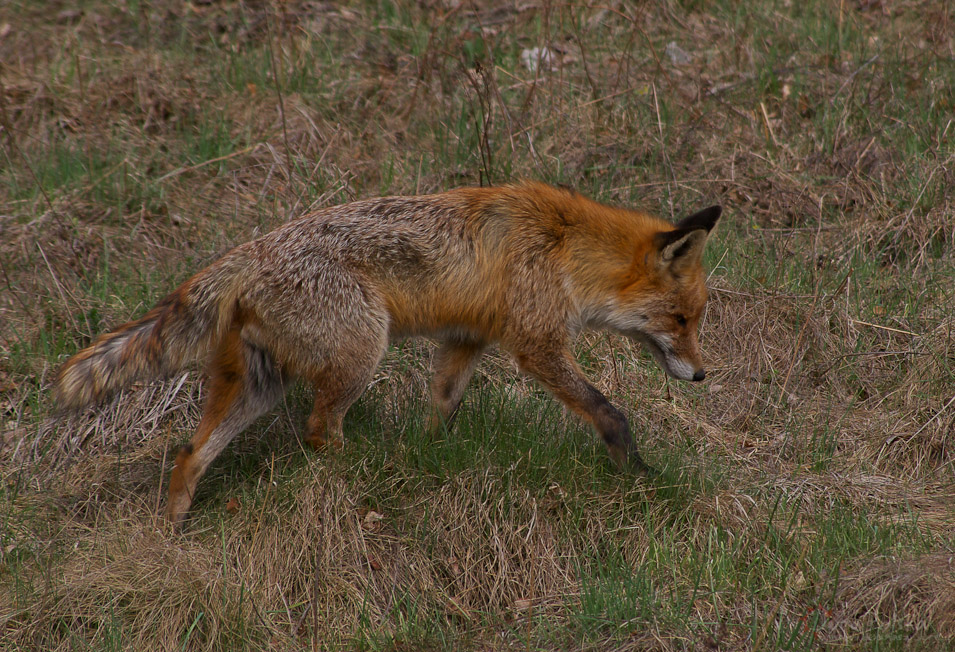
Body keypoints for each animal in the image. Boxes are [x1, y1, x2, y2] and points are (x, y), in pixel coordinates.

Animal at [56, 182, 720, 524]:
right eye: (681, 320)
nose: (701, 375)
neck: (564, 247)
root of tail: (249, 252)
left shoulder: (465, 339)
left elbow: (442, 406)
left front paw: (431, 455)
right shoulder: (536, 344)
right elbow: (610, 411)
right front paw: (634, 470)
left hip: (259, 385)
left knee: (192, 454)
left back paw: (171, 531)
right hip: (361, 352)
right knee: (320, 429)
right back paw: (367, 472)